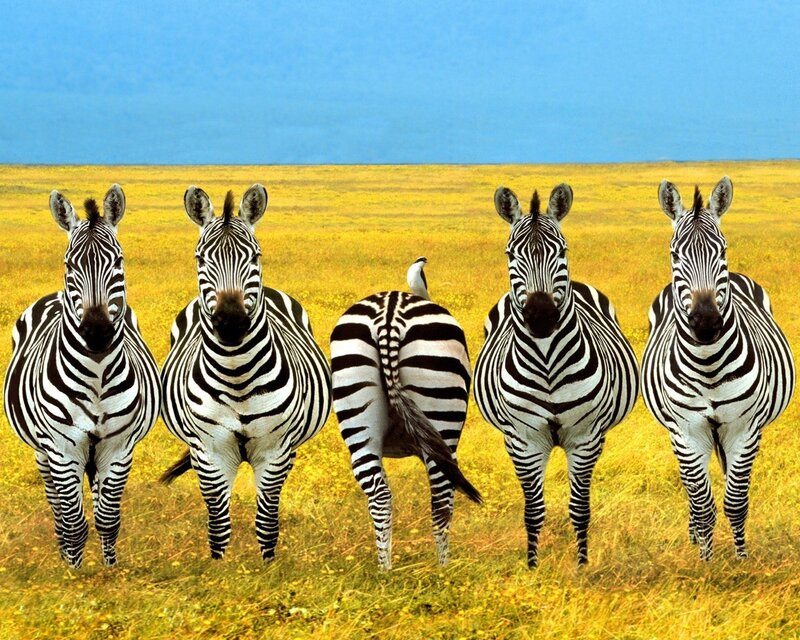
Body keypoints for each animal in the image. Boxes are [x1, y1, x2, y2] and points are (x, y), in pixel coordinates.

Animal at [3, 185, 160, 568]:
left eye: (118, 261)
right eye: (69, 265)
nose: (97, 331)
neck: (97, 375)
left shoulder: (119, 447)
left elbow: (107, 517)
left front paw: (109, 570)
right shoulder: (62, 448)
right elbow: (73, 521)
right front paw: (73, 572)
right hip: (43, 452)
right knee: (57, 507)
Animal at [159, 184, 332, 561]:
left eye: (255, 256)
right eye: (200, 259)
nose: (231, 322)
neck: (237, 376)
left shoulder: (275, 451)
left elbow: (267, 521)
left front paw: (267, 567)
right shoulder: (209, 451)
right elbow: (218, 524)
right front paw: (219, 569)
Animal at [330, 257, 482, 569]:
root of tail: (389, 312)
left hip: (356, 409)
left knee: (380, 496)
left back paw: (385, 571)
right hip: (442, 415)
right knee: (441, 498)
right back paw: (443, 570)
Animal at [473, 184, 639, 567]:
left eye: (562, 251)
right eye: (510, 254)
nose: (541, 316)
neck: (548, 363)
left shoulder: (586, 438)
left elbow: (579, 508)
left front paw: (581, 565)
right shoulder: (523, 440)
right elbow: (533, 511)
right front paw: (533, 566)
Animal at [641, 177, 795, 561]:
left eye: (722, 251)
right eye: (675, 254)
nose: (706, 322)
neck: (708, 363)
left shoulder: (745, 428)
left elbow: (735, 502)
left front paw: (741, 560)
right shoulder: (687, 430)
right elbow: (702, 503)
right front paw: (706, 561)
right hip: (678, 434)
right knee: (691, 489)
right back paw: (694, 536)